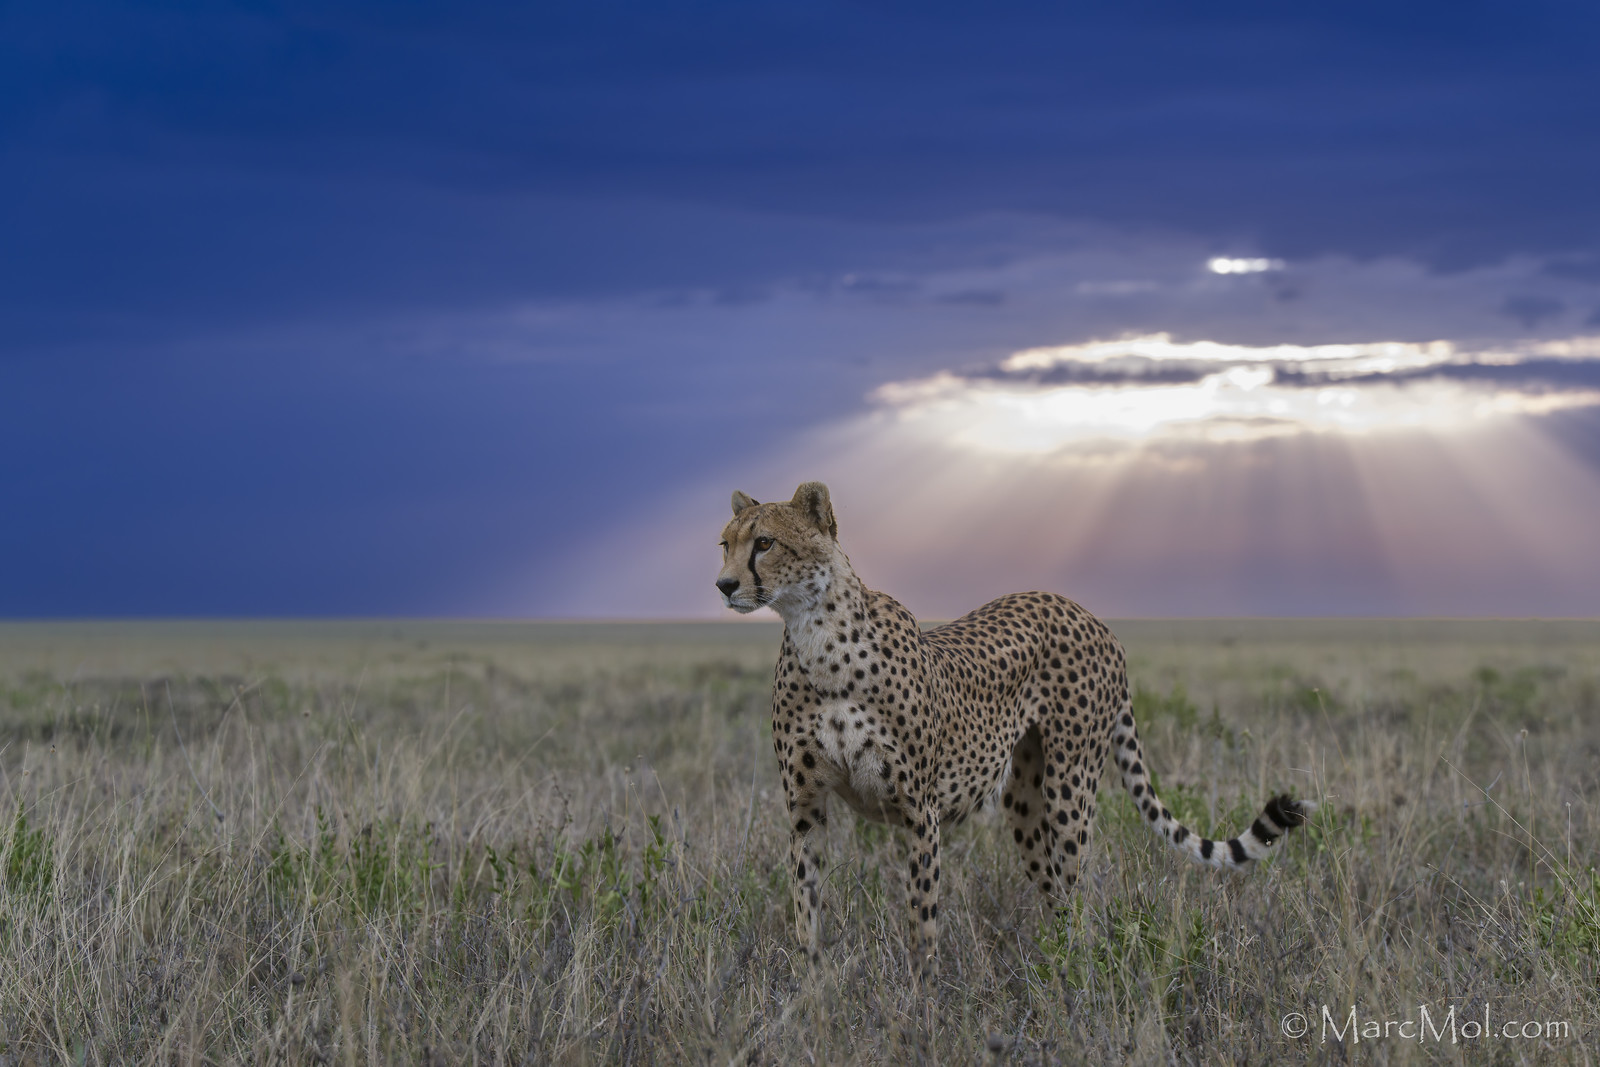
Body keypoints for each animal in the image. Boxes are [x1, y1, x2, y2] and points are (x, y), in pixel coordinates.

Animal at [716, 481, 1314, 980]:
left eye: (765, 543)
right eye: (724, 544)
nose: (724, 585)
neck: (819, 637)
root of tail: (1085, 611)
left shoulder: (920, 810)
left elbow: (923, 919)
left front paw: (922, 1003)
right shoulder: (805, 808)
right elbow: (806, 909)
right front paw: (813, 993)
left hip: (1070, 787)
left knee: (1078, 892)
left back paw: (1079, 978)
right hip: (1024, 802)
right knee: (1054, 892)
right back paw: (1058, 970)